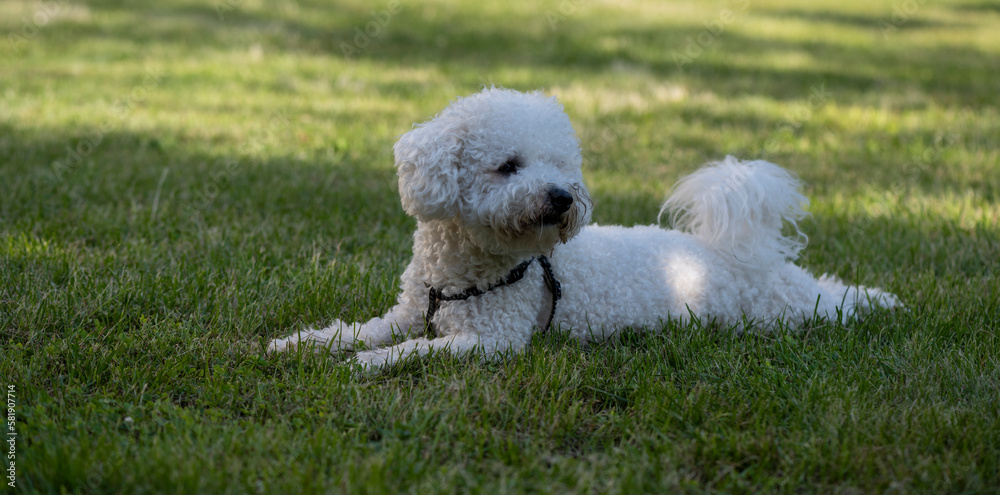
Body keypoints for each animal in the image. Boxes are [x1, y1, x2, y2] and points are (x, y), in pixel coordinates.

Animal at [268, 88, 900, 368]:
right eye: (509, 165)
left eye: (561, 166)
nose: (562, 197)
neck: (461, 275)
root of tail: (738, 252)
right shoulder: (404, 313)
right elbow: (357, 329)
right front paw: (297, 344)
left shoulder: (492, 340)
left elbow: (414, 351)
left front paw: (365, 364)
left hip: (783, 310)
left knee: (833, 300)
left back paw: (881, 300)